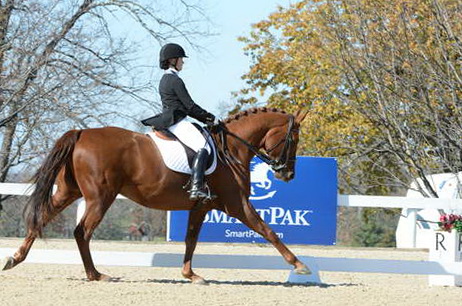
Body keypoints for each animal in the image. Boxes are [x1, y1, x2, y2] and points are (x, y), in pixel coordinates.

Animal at [1, 107, 310, 282]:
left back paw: (14, 259)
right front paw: (300, 265)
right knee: (82, 232)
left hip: (68, 191)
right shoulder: (237, 204)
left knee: (41, 218)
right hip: (100, 197)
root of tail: (82, 133)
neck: (231, 150)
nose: (288, 174)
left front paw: (190, 274)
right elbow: (268, 231)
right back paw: (96, 275)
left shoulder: (200, 206)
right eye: (293, 139)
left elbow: (190, 240)